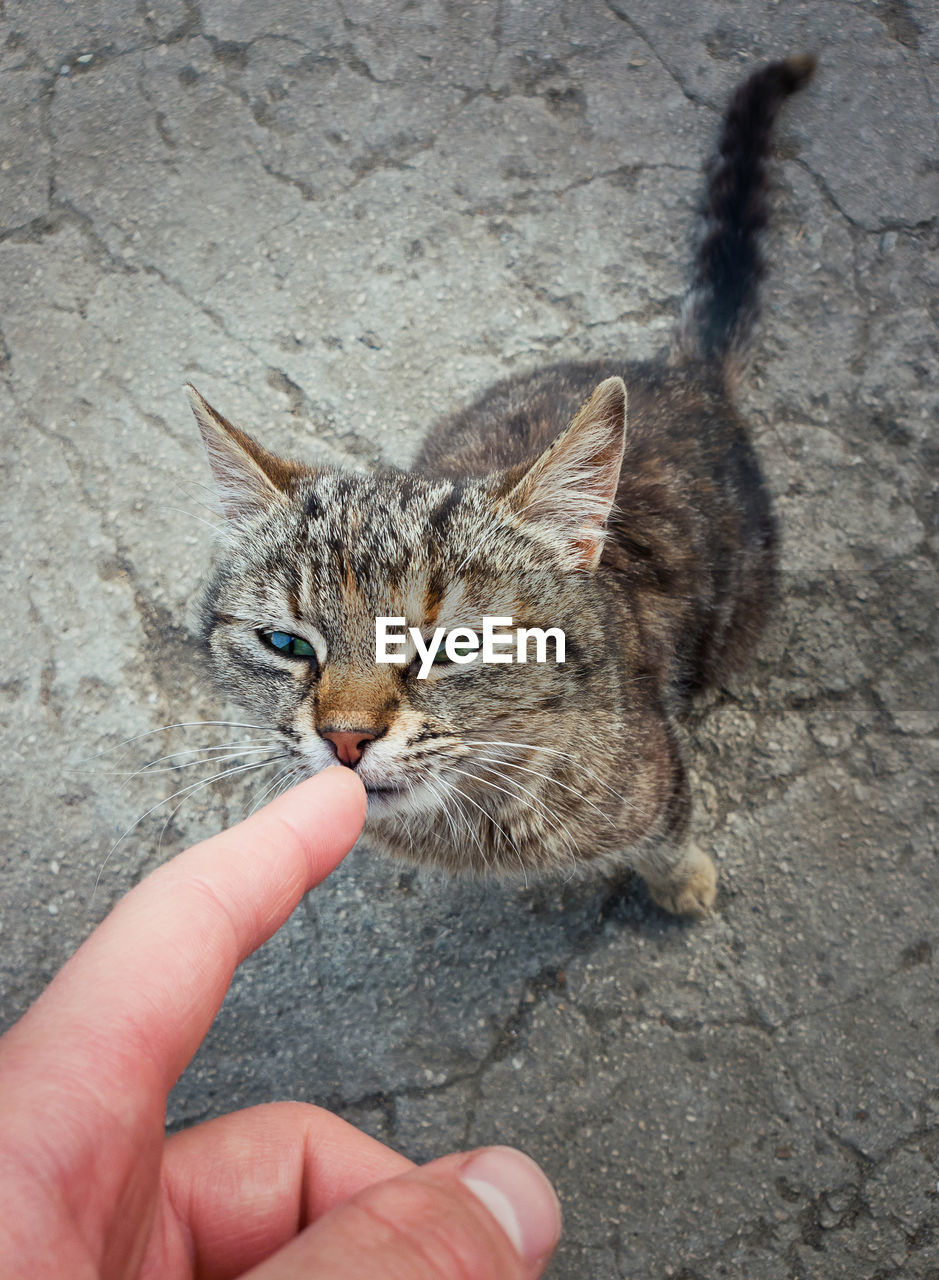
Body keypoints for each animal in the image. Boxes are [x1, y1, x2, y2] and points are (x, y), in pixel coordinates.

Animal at [189, 55, 818, 916]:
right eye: (285, 644)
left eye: (452, 646)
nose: (344, 737)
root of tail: (683, 373)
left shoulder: (658, 779)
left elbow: (668, 835)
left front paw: (683, 881)